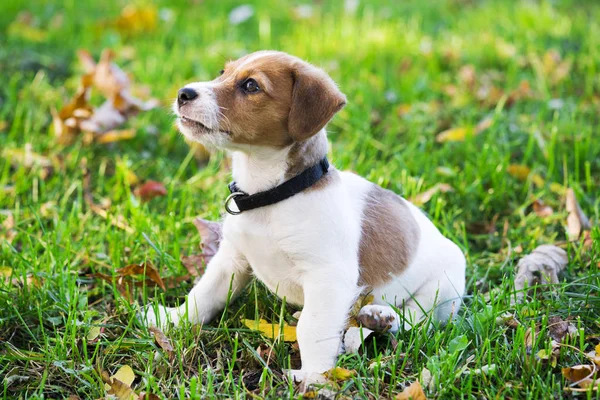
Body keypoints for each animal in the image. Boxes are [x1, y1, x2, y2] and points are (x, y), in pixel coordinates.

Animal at [146, 50, 468, 382]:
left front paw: (314, 377)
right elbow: (204, 294)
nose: (184, 93)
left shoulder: (327, 276)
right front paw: (172, 319)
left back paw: (382, 317)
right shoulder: (231, 260)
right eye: (223, 72)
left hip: (443, 287)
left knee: (417, 320)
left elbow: (312, 328)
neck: (272, 196)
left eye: (251, 86)